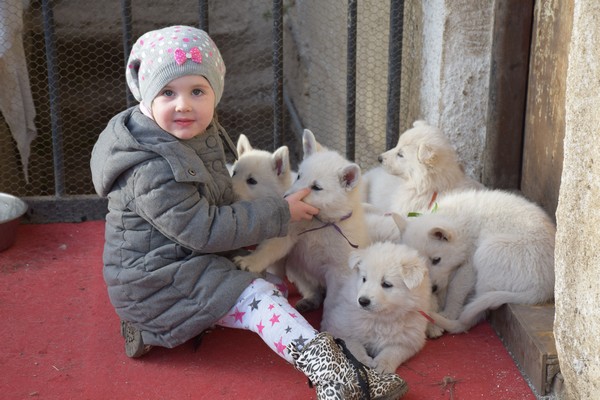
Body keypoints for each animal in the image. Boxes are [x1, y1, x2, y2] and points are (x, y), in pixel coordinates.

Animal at [234, 129, 370, 312]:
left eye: (316, 187)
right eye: (299, 176)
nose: (286, 198)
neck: (320, 222)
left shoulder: (339, 268)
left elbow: (333, 300)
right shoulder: (289, 231)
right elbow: (269, 248)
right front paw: (250, 261)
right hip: (297, 268)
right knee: (311, 288)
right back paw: (309, 300)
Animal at [320, 241, 432, 373]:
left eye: (386, 284)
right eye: (364, 279)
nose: (363, 301)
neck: (380, 319)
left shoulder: (410, 339)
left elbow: (394, 350)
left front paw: (382, 364)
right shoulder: (341, 329)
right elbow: (354, 346)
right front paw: (362, 361)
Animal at [394, 189, 556, 336]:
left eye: (436, 260)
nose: (433, 288)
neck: (460, 226)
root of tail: (543, 288)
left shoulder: (469, 264)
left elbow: (456, 288)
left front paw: (449, 312)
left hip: (488, 251)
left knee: (473, 316)